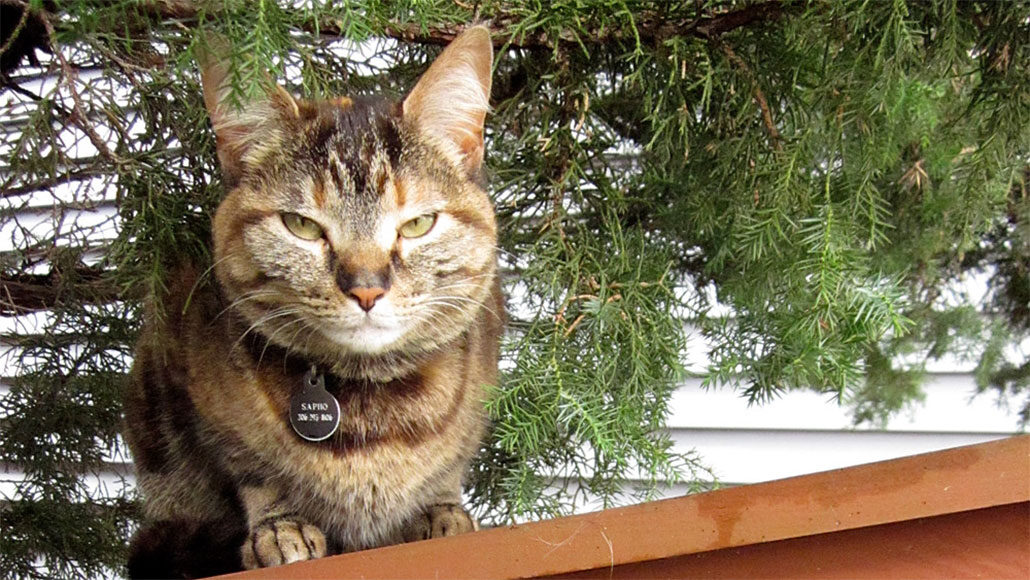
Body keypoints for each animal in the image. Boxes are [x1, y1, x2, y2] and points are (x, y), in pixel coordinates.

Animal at [122, 24, 500, 576]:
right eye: (301, 225)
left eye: (417, 224)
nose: (366, 287)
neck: (371, 413)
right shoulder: (204, 405)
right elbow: (252, 471)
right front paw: (278, 528)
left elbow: (448, 470)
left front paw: (440, 512)